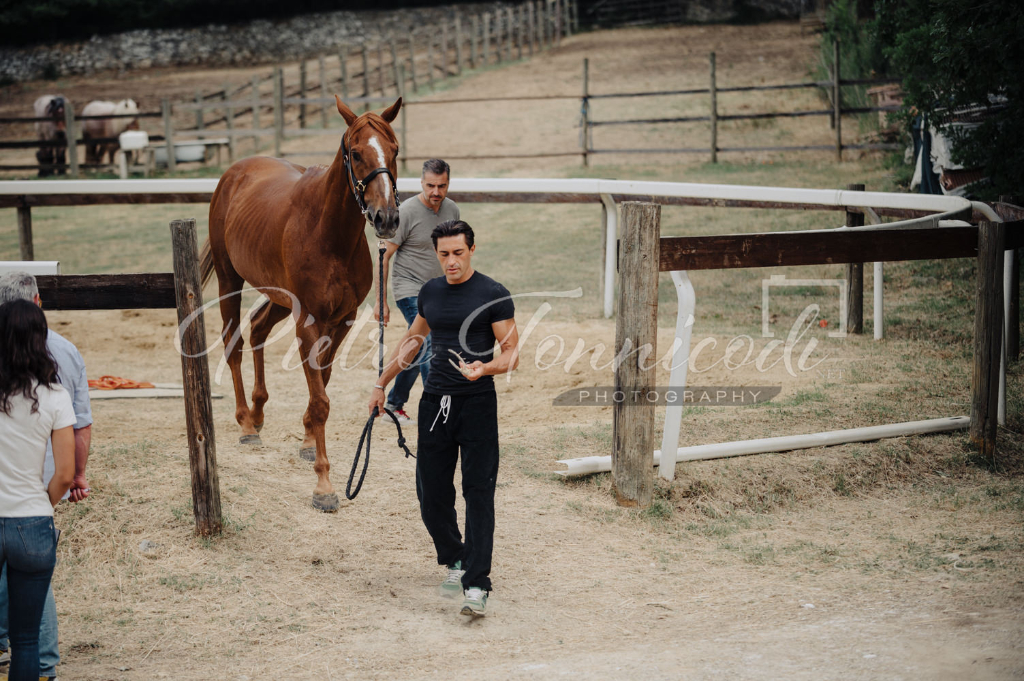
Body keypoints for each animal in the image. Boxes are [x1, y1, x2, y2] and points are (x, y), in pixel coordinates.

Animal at [206, 95, 399, 509]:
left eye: (393, 150)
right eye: (355, 153)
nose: (387, 218)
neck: (329, 233)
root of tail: (234, 173)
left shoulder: (341, 320)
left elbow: (320, 385)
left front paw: (309, 440)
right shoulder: (308, 320)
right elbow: (321, 397)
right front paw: (324, 485)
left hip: (278, 298)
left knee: (257, 329)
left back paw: (258, 412)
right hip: (231, 282)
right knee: (234, 344)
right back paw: (246, 423)